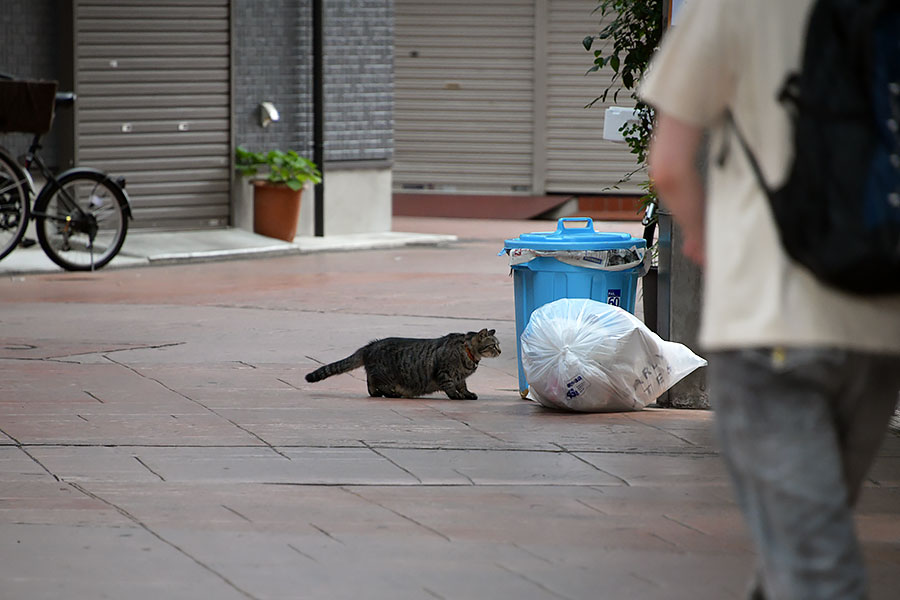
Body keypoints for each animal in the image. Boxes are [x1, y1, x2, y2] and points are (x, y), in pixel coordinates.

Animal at [306, 328, 502, 398]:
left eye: (499, 344)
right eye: (493, 345)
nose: (500, 351)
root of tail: (370, 346)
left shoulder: (461, 378)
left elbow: (463, 387)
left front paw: (467, 394)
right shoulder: (445, 373)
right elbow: (451, 388)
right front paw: (456, 396)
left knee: (370, 384)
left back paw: (378, 393)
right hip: (385, 373)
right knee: (376, 382)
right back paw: (391, 394)